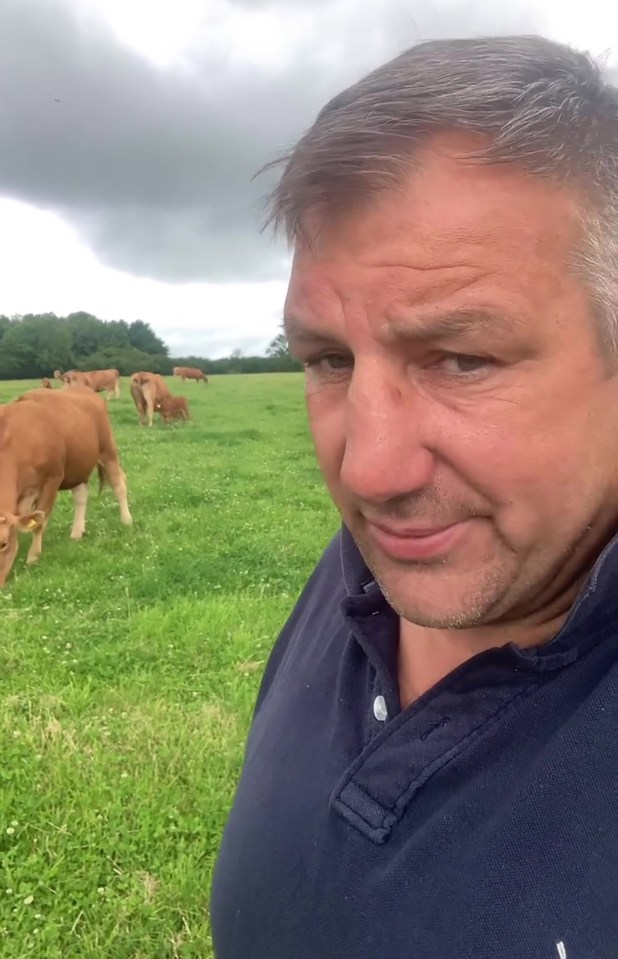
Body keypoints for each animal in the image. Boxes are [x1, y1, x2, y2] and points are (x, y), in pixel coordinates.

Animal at [0, 388, 134, 584]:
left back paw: (126, 520)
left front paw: (33, 557)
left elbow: (39, 522)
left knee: (119, 483)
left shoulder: (52, 480)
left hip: (108, 450)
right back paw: (77, 532)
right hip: (79, 466)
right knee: (81, 495)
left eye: (3, 544)